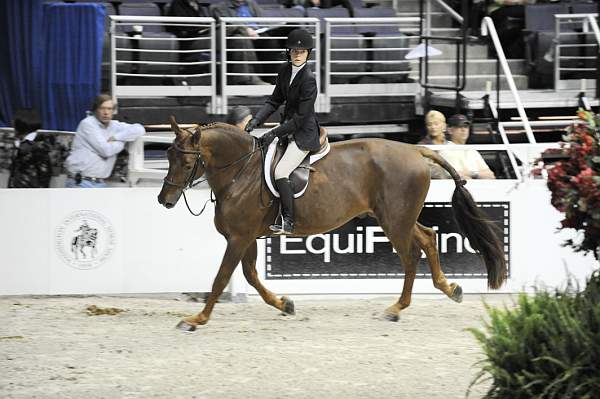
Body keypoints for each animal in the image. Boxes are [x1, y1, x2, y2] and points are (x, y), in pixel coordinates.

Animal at [157, 117, 504, 332]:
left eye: (186, 162)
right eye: (168, 156)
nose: (164, 200)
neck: (241, 172)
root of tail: (415, 149)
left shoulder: (239, 238)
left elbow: (220, 279)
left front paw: (196, 319)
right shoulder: (247, 238)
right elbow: (252, 276)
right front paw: (285, 304)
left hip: (394, 221)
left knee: (411, 256)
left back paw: (396, 308)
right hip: (396, 218)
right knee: (429, 238)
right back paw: (450, 288)